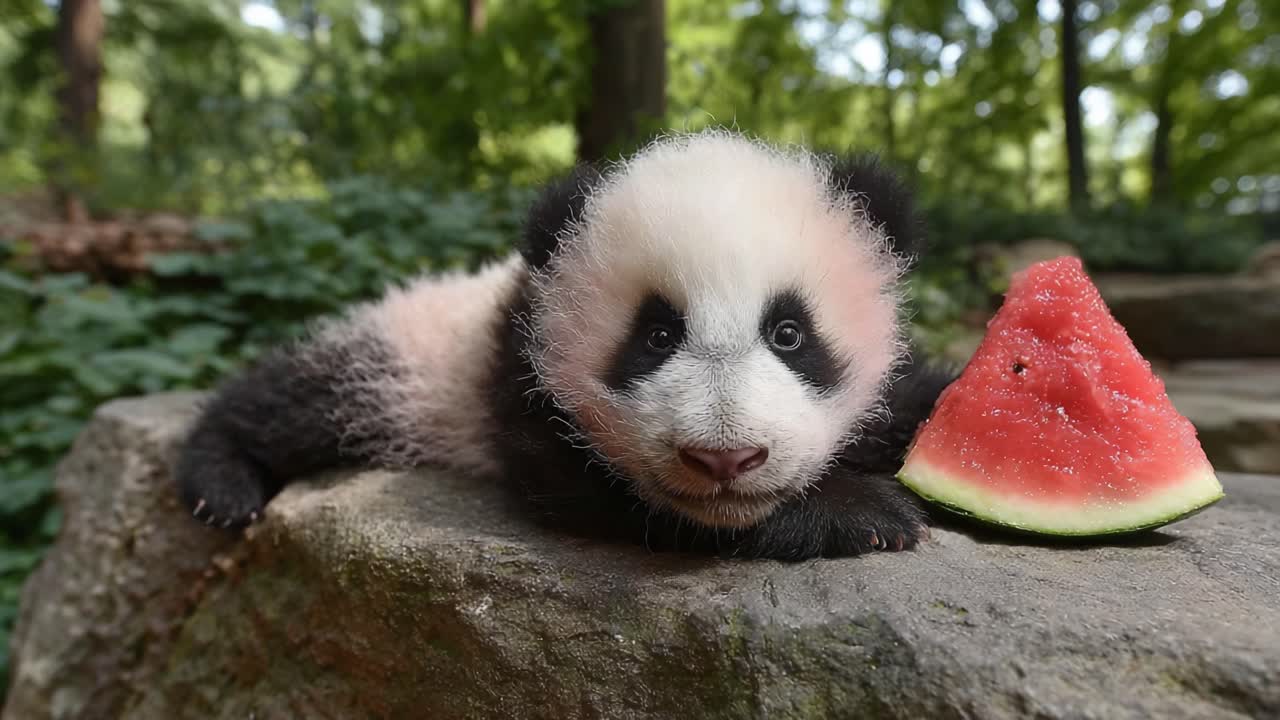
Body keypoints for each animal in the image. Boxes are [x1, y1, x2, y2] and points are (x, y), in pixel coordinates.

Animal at [176, 129, 957, 561]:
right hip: (412, 357)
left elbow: (914, 399)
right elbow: (601, 495)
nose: (724, 459)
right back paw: (220, 479)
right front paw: (862, 514)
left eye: (789, 333)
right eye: (656, 336)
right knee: (306, 395)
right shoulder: (520, 372)